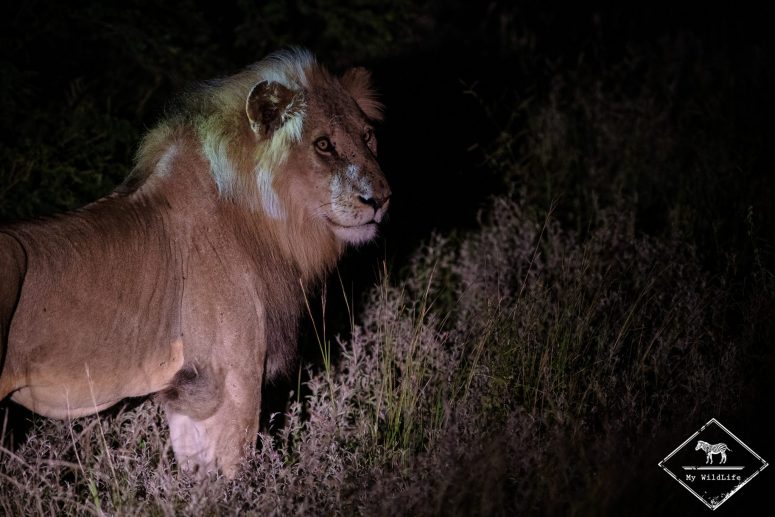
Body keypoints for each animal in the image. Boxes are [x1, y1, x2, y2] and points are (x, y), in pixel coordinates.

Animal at [0, 49, 390, 477]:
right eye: (323, 144)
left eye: (367, 136)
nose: (382, 198)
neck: (267, 221)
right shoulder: (234, 376)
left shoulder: (190, 392)